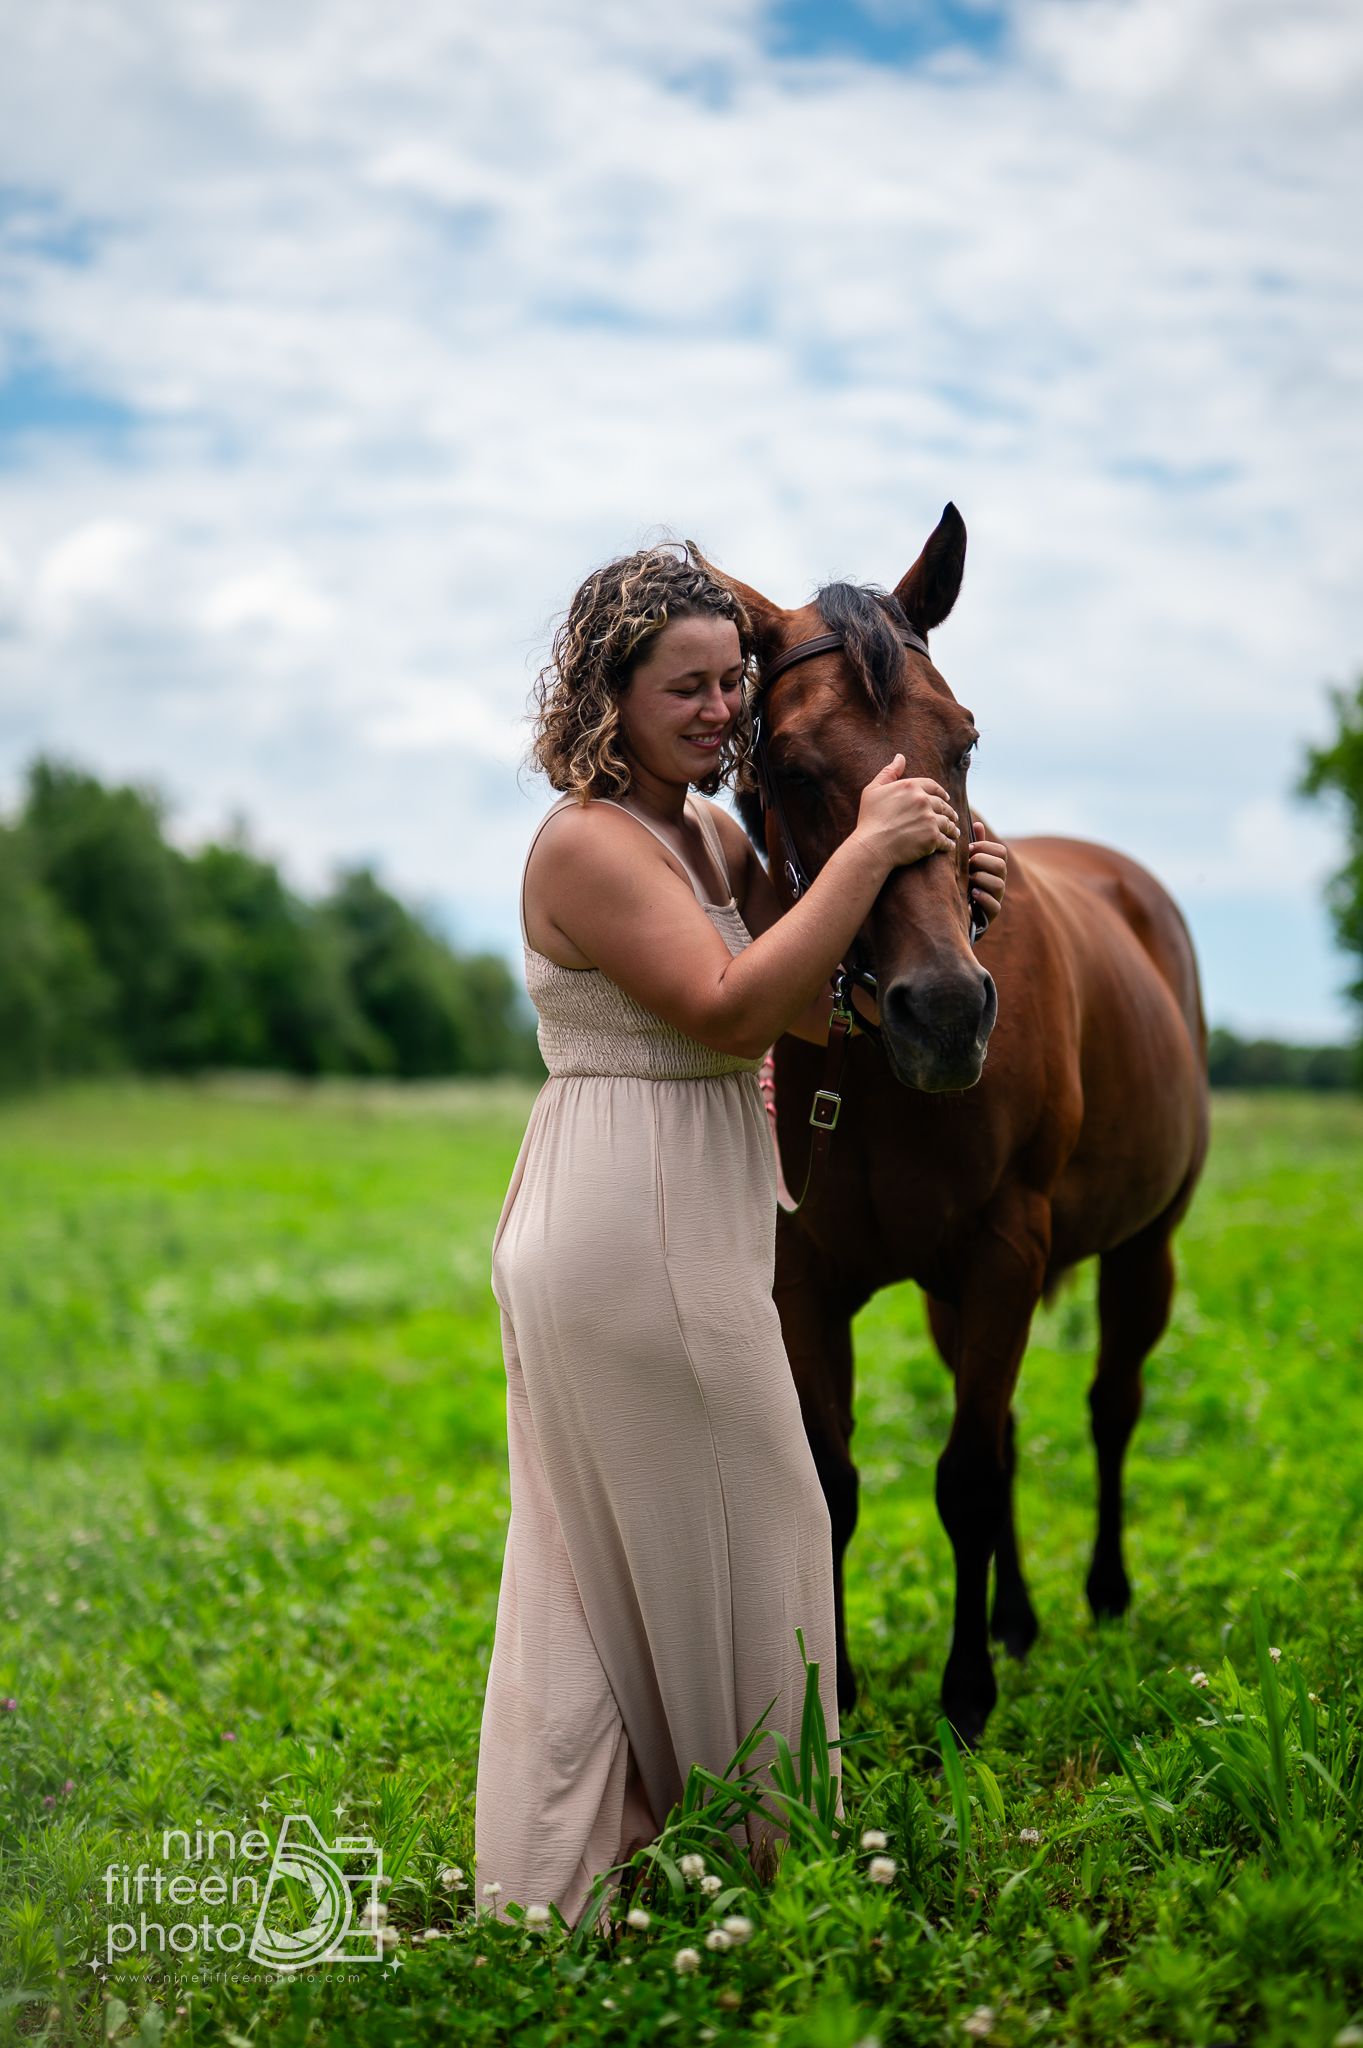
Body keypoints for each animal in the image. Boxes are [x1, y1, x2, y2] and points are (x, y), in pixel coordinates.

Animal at [712, 505, 1209, 1745]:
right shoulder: (808, 1278)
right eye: (792, 767)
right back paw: (1021, 1616)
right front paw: (835, 1692)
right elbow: (837, 1478)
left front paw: (965, 1695)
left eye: (964, 742)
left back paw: (1101, 1593)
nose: (942, 1011)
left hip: (1142, 1250)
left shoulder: (1002, 1250)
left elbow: (967, 1475)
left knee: (1108, 1406)